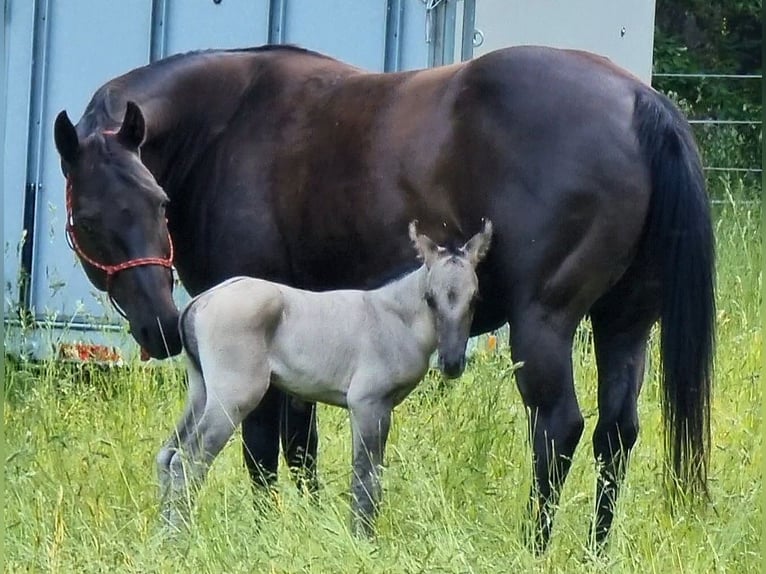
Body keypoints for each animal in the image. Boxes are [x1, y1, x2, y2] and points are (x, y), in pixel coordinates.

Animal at [158, 220, 492, 535]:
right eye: (430, 298)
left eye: (475, 298)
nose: (451, 363)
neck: (396, 316)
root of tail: (200, 301)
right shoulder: (368, 404)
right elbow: (365, 476)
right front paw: (363, 537)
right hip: (232, 398)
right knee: (187, 461)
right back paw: (180, 538)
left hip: (201, 391)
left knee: (167, 454)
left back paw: (162, 539)